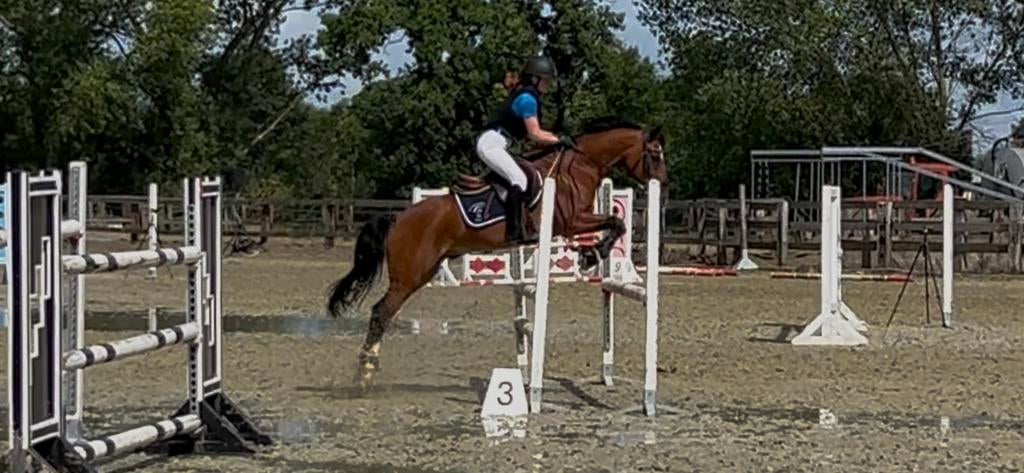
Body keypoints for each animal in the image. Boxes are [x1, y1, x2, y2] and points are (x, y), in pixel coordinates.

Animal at [327, 118, 668, 389]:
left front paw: (589, 254)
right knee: (380, 312)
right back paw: (364, 372)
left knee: (384, 313)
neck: (580, 166)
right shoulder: (573, 220)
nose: (663, 187)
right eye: (654, 154)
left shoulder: (577, 221)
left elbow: (615, 223)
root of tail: (398, 218)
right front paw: (593, 253)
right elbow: (617, 222)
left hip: (424, 271)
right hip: (410, 276)